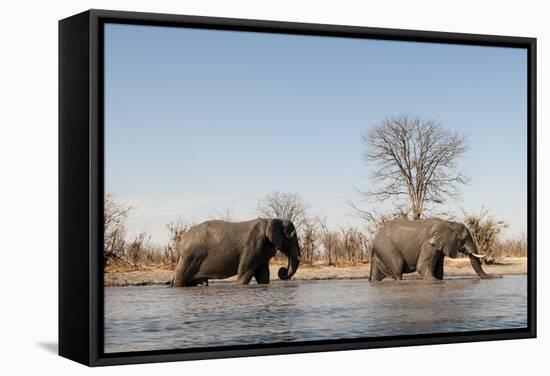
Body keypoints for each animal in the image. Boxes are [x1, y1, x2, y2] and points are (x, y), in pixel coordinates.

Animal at [172, 216, 302, 286]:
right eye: (292, 236)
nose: (282, 271)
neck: (272, 219)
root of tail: (180, 241)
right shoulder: (253, 245)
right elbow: (245, 272)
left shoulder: (262, 249)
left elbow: (263, 274)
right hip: (188, 257)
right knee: (180, 278)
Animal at [368, 217, 502, 282]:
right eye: (464, 239)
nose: (500, 277)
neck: (448, 223)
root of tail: (373, 241)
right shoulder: (428, 244)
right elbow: (422, 267)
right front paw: (433, 280)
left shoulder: (441, 246)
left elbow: (438, 268)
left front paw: (438, 280)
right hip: (387, 249)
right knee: (397, 269)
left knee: (376, 275)